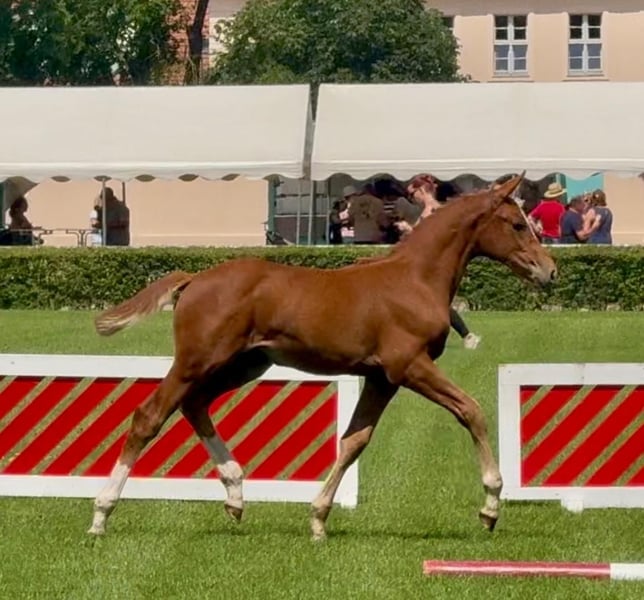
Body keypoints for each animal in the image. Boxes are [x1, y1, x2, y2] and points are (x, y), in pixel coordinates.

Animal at [87, 173, 557, 540]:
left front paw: (318, 518)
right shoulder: (410, 366)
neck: (416, 279)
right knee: (149, 416)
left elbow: (354, 440)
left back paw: (236, 494)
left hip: (244, 364)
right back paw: (102, 513)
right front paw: (491, 505)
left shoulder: (382, 378)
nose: (549, 271)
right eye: (518, 224)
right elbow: (470, 410)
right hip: (196, 362)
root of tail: (195, 278)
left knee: (195, 405)